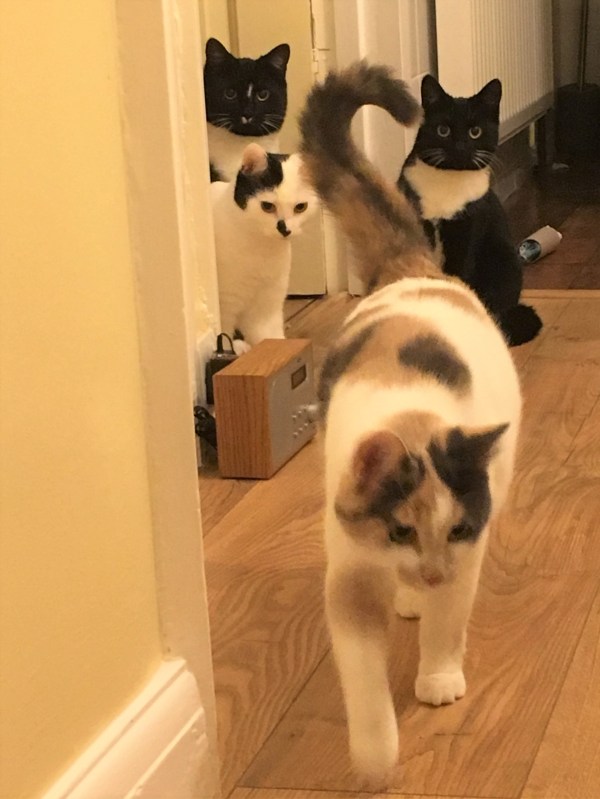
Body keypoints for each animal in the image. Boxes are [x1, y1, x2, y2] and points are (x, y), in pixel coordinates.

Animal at [211, 142, 316, 348]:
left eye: (300, 207)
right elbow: (224, 341)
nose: (284, 229)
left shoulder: (267, 307)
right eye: (267, 206)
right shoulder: (224, 304)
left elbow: (271, 339)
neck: (261, 248)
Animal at [299, 63, 521, 782]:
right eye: (398, 529)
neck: (412, 410)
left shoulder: (470, 547)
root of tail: (415, 267)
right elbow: (363, 678)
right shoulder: (347, 576)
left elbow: (449, 623)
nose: (428, 572)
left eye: (453, 530)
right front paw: (375, 759)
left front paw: (439, 680)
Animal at [398, 74, 542, 346]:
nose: (460, 146)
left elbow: (460, 274)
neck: (448, 182)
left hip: (504, 262)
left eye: (475, 132)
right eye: (443, 130)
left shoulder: (469, 227)